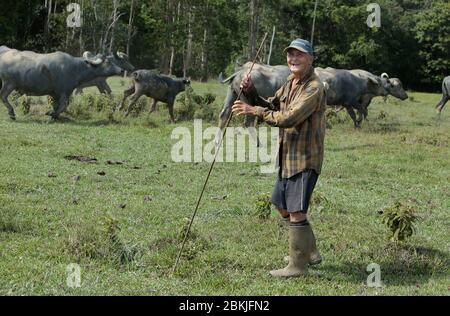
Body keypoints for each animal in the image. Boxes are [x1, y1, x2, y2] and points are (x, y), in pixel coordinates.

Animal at [0, 47, 134, 119]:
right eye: (108, 62)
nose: (121, 70)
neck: (76, 67)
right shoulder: (63, 92)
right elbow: (63, 106)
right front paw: (51, 113)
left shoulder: (60, 93)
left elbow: (59, 105)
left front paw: (54, 114)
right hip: (9, 84)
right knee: (3, 96)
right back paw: (11, 113)